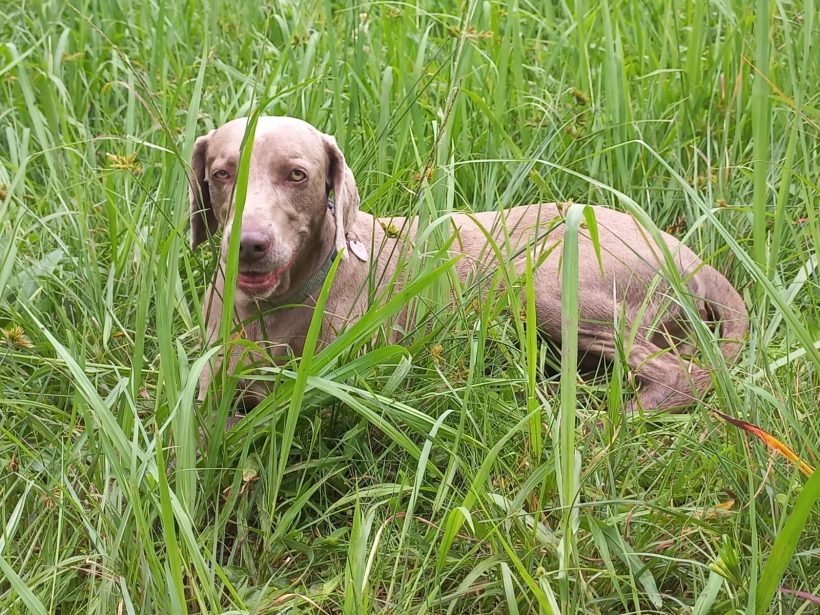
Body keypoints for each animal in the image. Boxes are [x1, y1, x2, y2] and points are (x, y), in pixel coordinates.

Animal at [189, 115, 748, 414]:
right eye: (221, 173)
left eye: (297, 175)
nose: (249, 244)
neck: (275, 305)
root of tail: (686, 252)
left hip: (548, 286)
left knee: (685, 376)